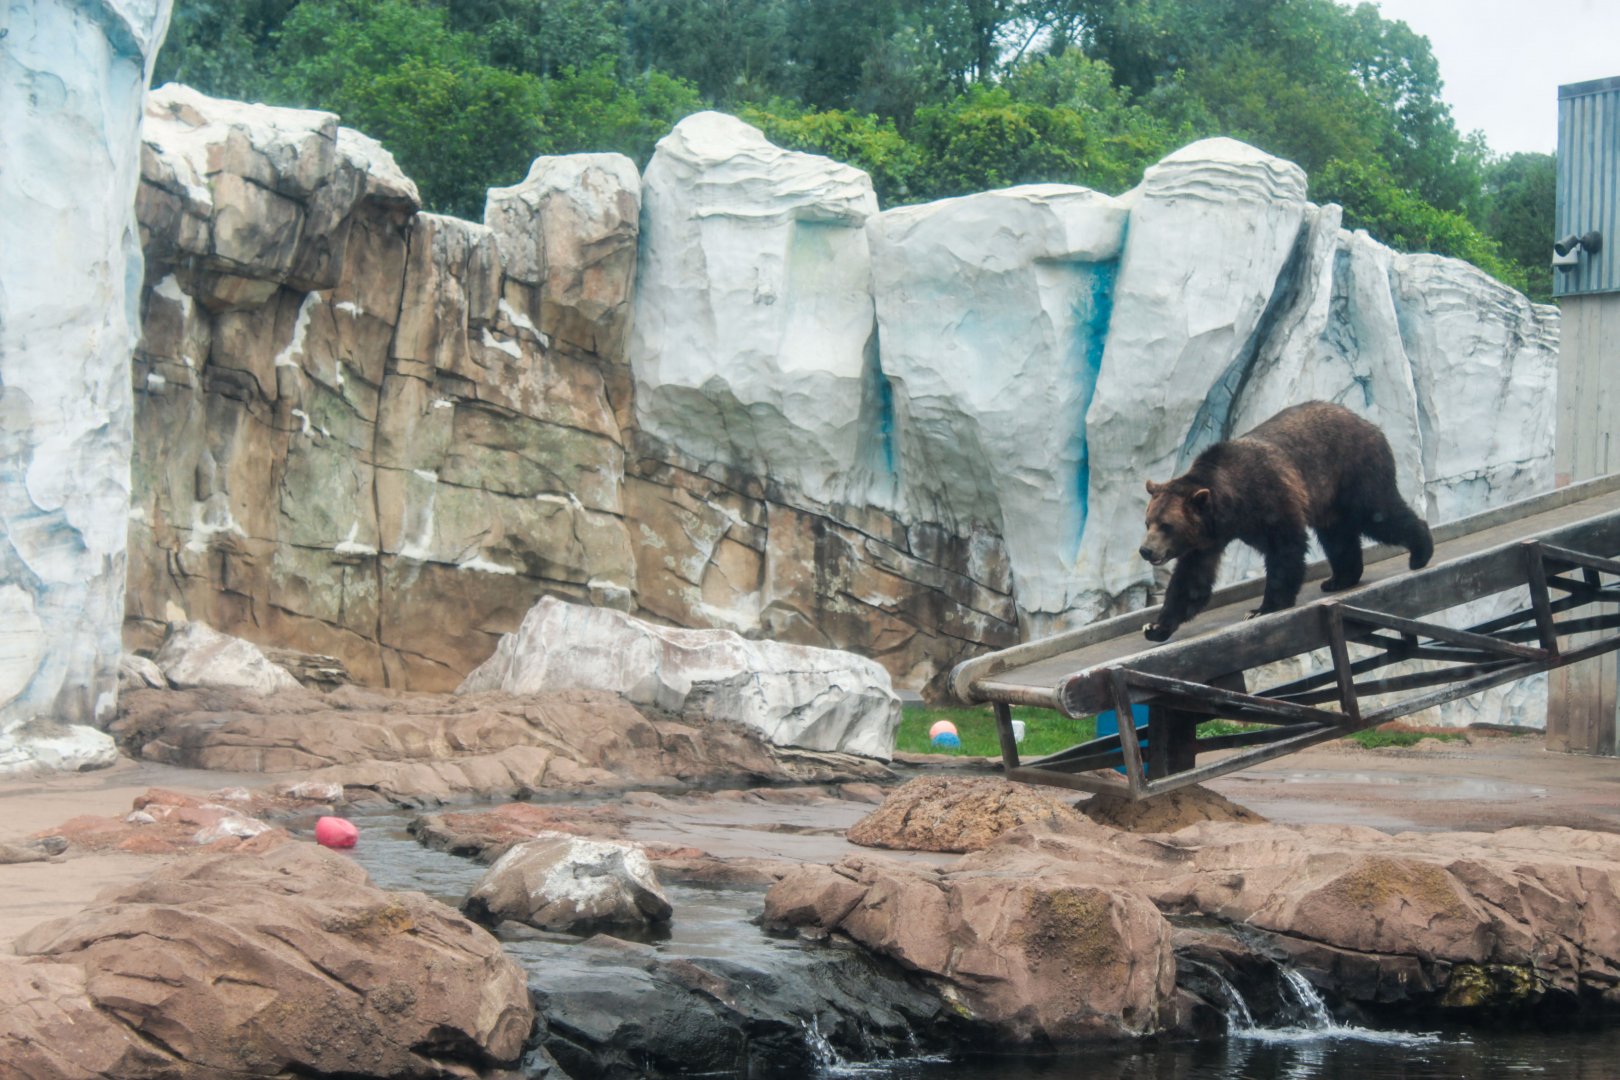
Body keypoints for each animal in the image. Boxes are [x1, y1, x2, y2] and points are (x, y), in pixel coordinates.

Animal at [1137, 401, 1433, 642]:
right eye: (1148, 522)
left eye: (1166, 525)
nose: (1146, 550)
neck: (1230, 506)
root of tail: (1364, 421)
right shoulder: (1207, 540)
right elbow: (1192, 579)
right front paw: (1155, 626)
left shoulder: (1270, 498)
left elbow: (1284, 548)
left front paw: (1261, 608)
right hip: (1329, 498)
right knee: (1337, 535)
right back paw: (1339, 578)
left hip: (1353, 467)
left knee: (1378, 513)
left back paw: (1420, 552)